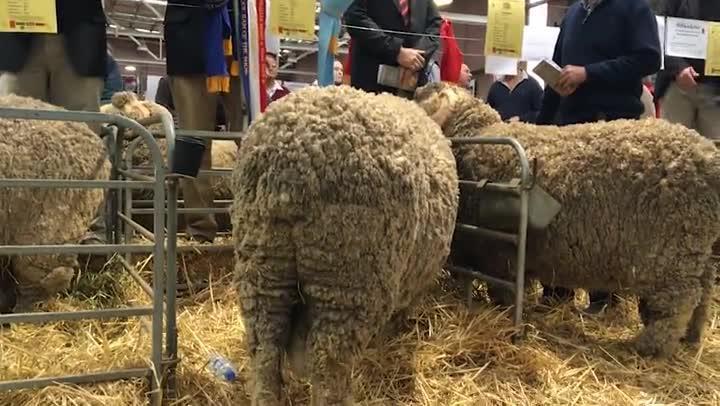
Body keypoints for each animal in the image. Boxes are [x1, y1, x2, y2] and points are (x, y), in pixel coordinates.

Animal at [414, 82, 720, 358]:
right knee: (703, 293)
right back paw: (691, 337)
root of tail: (708, 155)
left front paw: (504, 315)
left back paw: (651, 347)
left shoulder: (499, 252)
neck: (478, 135)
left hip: (671, 252)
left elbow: (502, 289)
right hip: (695, 247)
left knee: (679, 300)